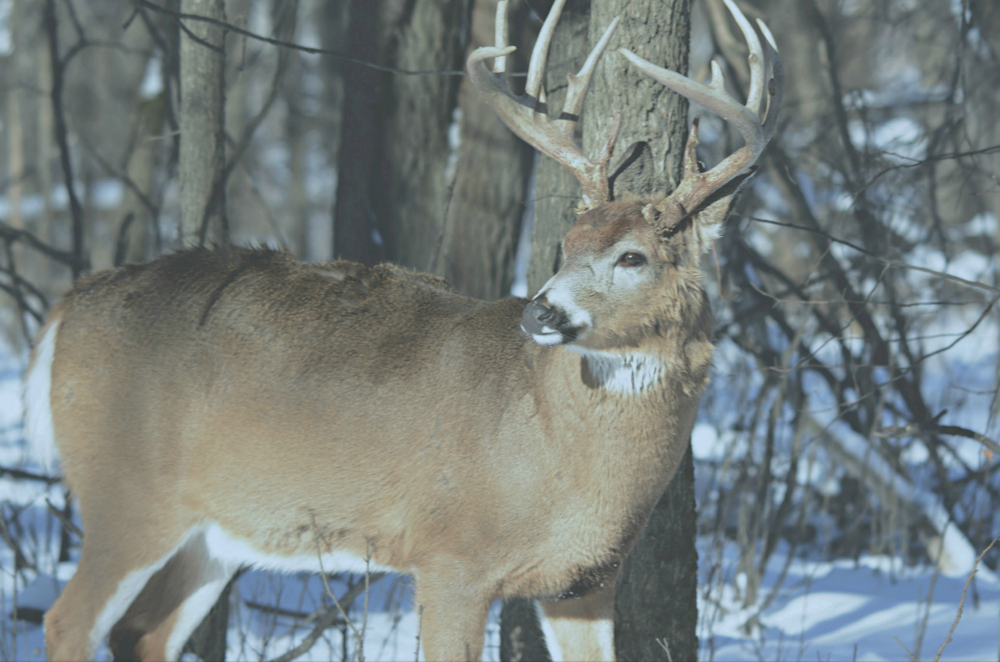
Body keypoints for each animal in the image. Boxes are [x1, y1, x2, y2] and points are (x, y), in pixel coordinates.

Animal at [23, 0, 781, 659]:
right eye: (565, 244)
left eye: (633, 257)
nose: (541, 311)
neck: (556, 451)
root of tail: (66, 308)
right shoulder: (450, 556)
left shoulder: (584, 580)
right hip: (124, 491)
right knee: (67, 621)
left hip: (212, 535)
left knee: (142, 635)